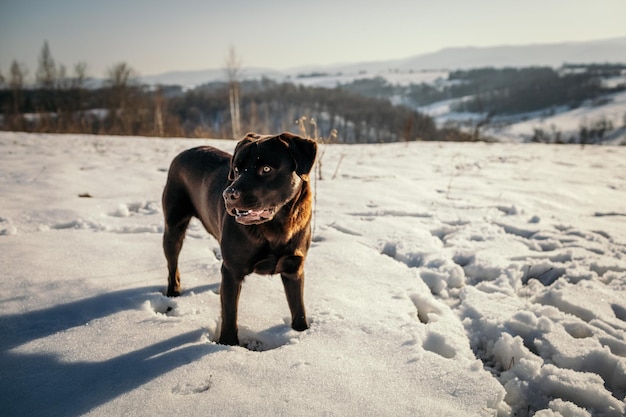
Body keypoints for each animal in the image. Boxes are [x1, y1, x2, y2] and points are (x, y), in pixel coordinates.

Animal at [162, 131, 316, 344]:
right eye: (236, 169)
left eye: (266, 169)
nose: (228, 194)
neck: (277, 228)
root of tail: (184, 152)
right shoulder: (232, 271)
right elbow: (229, 313)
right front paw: (228, 344)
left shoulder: (294, 268)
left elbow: (298, 309)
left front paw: (301, 333)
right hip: (174, 227)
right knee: (172, 264)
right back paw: (173, 292)